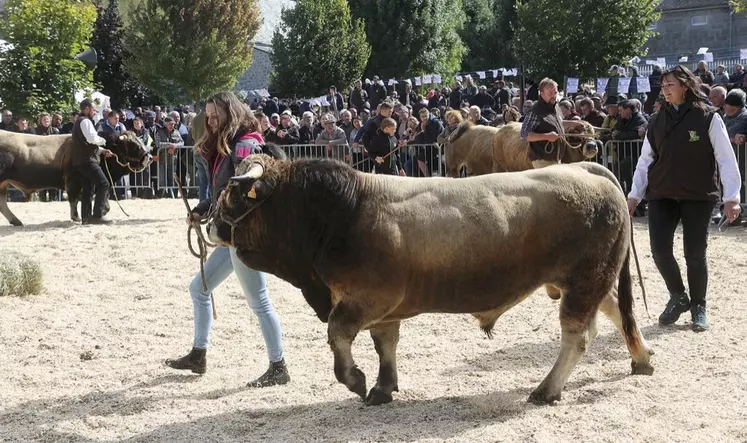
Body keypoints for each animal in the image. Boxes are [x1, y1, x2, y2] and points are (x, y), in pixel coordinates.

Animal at [0, 128, 152, 225]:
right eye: (133, 144)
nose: (150, 157)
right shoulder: (74, 181)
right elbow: (74, 199)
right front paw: (77, 217)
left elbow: (102, 200)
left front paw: (99, 213)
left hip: (3, 184)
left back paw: (16, 221)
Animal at [206, 153, 656, 410]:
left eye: (232, 192)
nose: (207, 222)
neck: (344, 210)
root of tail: (586, 169)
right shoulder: (383, 309)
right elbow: (385, 345)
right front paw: (383, 387)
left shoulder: (365, 298)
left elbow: (338, 335)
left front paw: (355, 380)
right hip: (589, 282)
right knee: (616, 313)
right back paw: (641, 359)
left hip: (582, 283)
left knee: (577, 337)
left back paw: (546, 390)